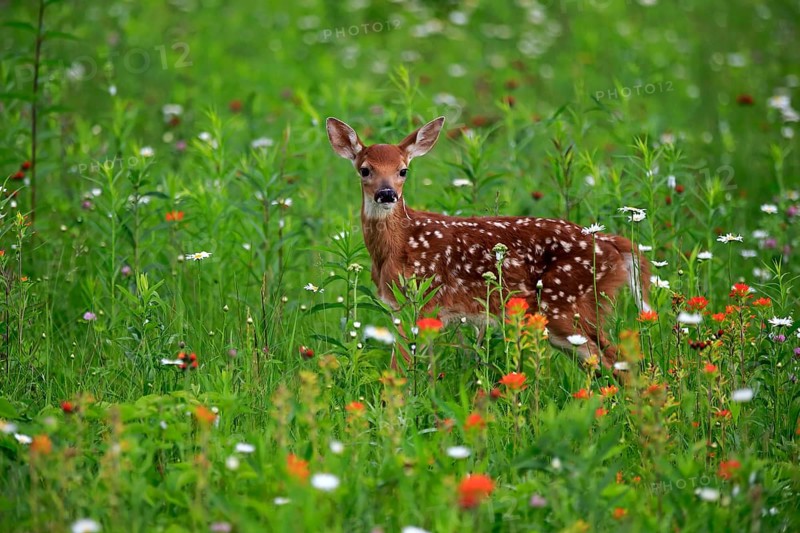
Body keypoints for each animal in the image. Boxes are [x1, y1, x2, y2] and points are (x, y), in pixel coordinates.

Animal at [326, 116, 650, 374]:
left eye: (403, 170)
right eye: (365, 169)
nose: (387, 193)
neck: (399, 245)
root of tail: (611, 242)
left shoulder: (424, 298)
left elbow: (402, 364)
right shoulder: (400, 307)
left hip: (568, 304)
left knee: (615, 359)